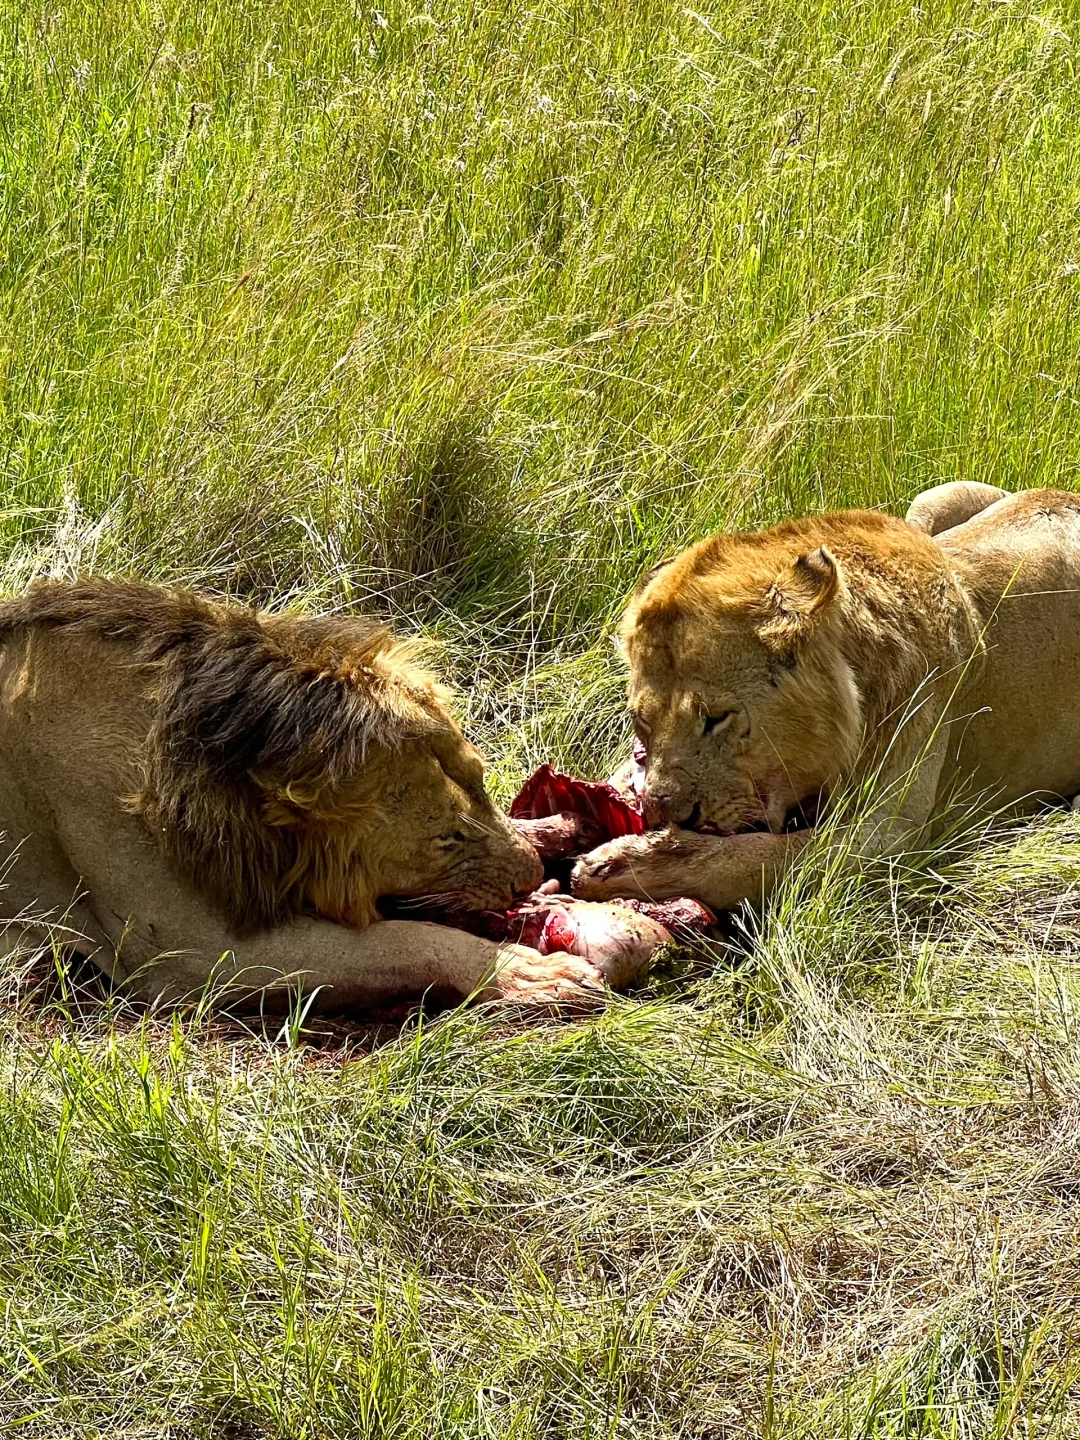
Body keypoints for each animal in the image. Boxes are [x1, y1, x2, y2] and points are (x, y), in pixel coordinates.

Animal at [0, 578, 624, 1008]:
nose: (527, 880)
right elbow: (401, 941)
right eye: (447, 839)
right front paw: (530, 972)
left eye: (484, 786)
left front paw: (558, 830)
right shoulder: (185, 952)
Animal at [578, 483, 1080, 910]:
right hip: (929, 501)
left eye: (717, 718)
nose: (664, 815)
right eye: (641, 722)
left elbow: (754, 858)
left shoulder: (892, 834)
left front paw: (625, 863)